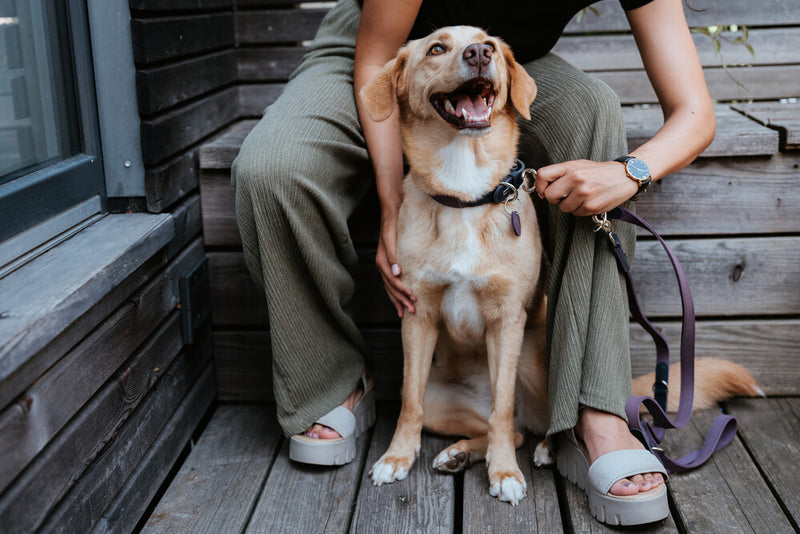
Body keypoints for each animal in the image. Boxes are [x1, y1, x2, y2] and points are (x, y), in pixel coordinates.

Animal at [362, 27, 764, 508]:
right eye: (436, 48)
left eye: (486, 43)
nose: (479, 53)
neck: (468, 192)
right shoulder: (417, 315)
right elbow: (410, 401)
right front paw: (397, 457)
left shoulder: (508, 320)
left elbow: (501, 410)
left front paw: (504, 473)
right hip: (446, 403)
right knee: (506, 426)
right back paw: (458, 453)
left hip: (536, 359)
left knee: (531, 420)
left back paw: (546, 449)